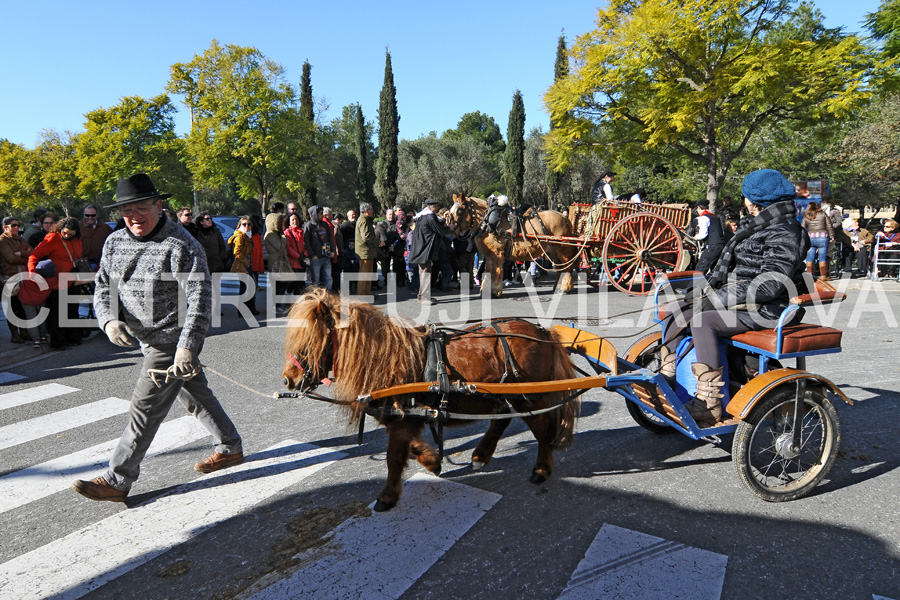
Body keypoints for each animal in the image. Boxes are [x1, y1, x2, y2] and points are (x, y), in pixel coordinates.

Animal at [282, 288, 584, 510]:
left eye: (307, 344)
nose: (287, 380)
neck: (390, 358)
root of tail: (544, 334)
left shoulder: (401, 422)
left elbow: (393, 458)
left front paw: (387, 496)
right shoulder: (407, 415)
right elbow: (412, 447)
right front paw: (432, 462)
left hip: (529, 398)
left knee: (543, 430)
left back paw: (541, 469)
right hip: (503, 396)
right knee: (501, 422)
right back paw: (481, 455)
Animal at [446, 196, 580, 298]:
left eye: (459, 210)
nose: (448, 226)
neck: (489, 222)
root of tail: (564, 218)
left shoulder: (497, 254)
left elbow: (497, 271)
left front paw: (495, 291)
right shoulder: (489, 256)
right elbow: (488, 271)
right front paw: (485, 290)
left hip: (562, 249)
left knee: (567, 267)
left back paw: (564, 288)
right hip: (554, 250)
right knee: (561, 268)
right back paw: (557, 287)